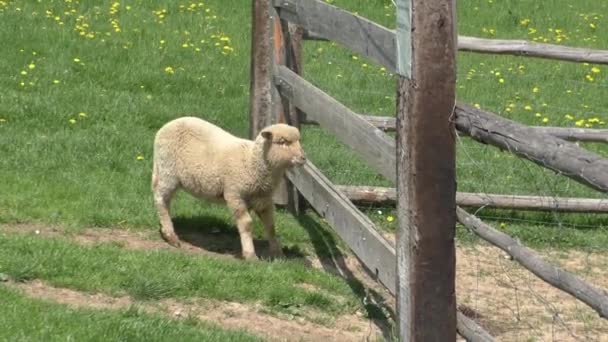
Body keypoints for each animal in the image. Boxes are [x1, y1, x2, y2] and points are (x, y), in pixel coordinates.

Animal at [150, 116, 306, 260]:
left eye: (299, 140)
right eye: (283, 142)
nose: (303, 158)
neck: (251, 162)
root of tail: (169, 124)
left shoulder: (264, 199)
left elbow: (271, 226)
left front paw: (278, 254)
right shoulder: (234, 194)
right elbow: (246, 223)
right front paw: (250, 254)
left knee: (166, 200)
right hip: (168, 171)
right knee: (161, 199)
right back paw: (170, 235)